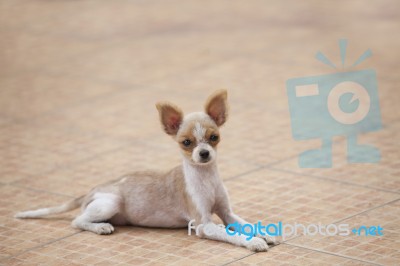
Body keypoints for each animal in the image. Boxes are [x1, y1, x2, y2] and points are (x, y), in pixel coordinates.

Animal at [16, 90, 278, 251]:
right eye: (186, 143)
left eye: (214, 138)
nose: (204, 154)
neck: (206, 178)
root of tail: (91, 190)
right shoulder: (204, 225)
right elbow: (233, 234)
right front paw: (253, 242)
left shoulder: (227, 213)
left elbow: (245, 224)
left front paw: (264, 232)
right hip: (110, 202)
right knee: (77, 221)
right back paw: (100, 227)